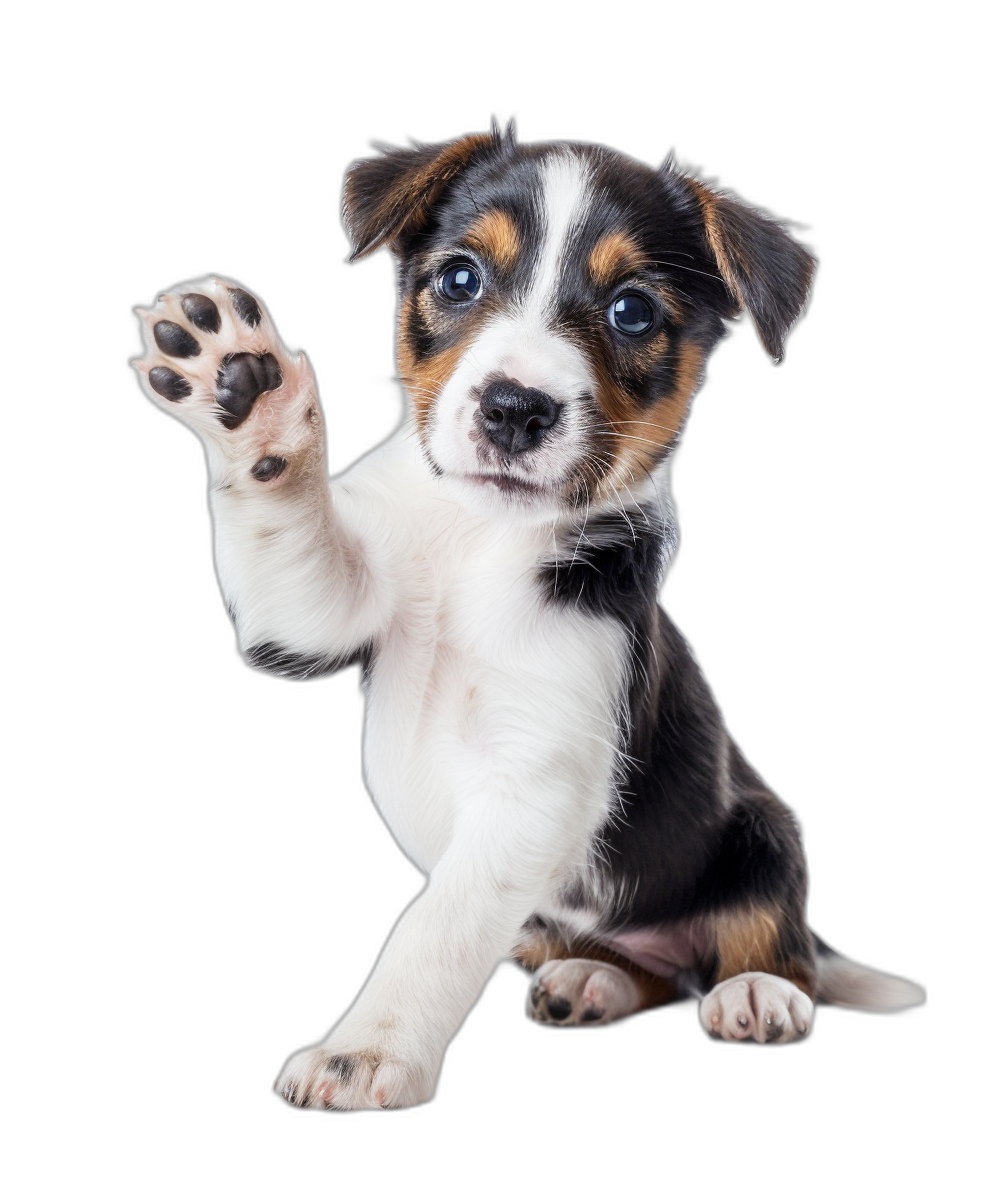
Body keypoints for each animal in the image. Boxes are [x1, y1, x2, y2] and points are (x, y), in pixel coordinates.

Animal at [130, 120, 928, 1108]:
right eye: (459, 279)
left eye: (633, 311)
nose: (516, 409)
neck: (479, 542)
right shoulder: (319, 615)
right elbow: (292, 528)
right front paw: (246, 389)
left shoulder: (538, 780)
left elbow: (435, 926)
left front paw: (369, 1054)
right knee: (638, 966)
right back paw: (594, 980)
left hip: (764, 831)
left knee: (768, 939)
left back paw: (757, 994)